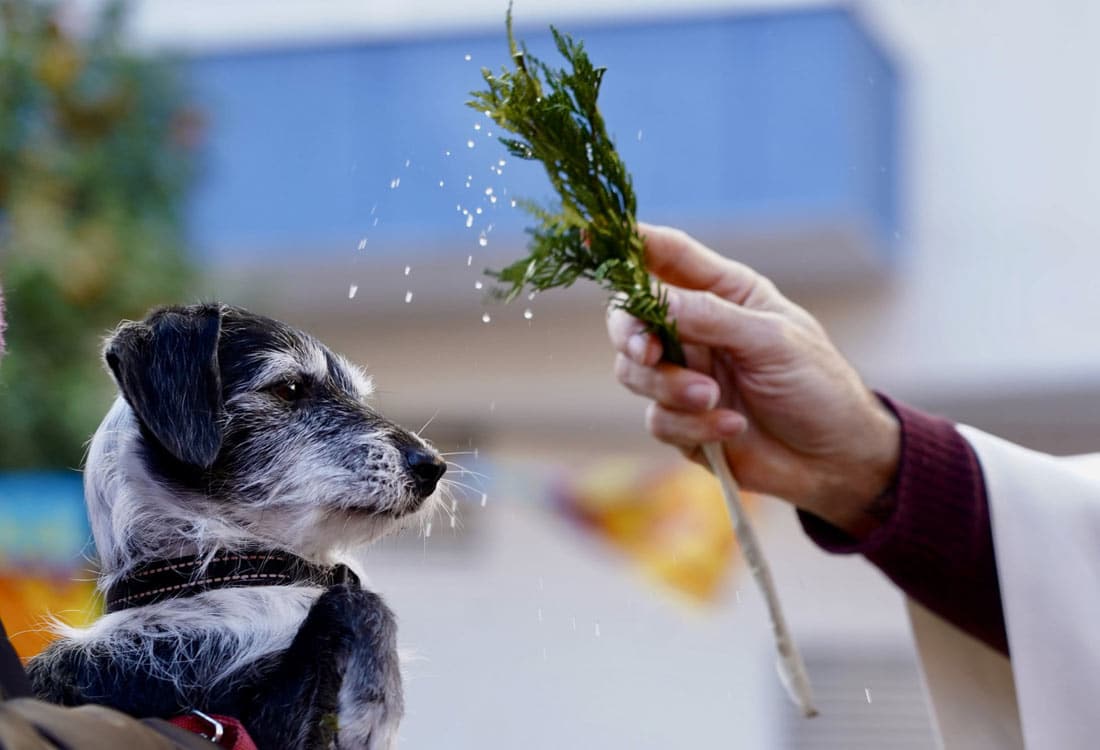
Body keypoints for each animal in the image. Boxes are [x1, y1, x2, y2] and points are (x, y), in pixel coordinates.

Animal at [21, 301, 444, 743]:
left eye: (358, 396)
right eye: (289, 388)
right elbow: (357, 602)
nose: (433, 467)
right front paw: (372, 709)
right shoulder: (264, 725)